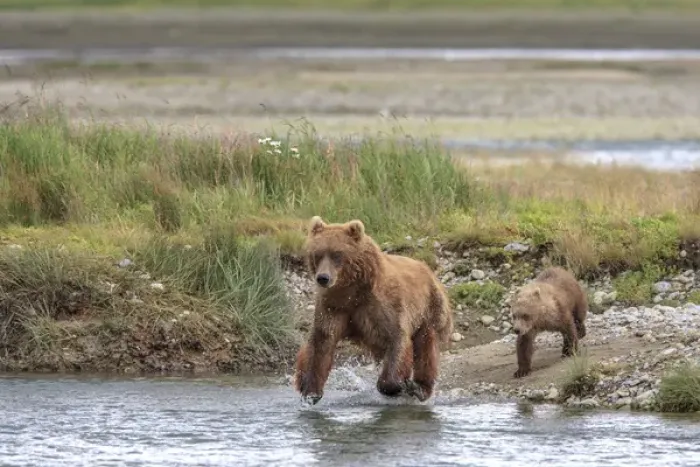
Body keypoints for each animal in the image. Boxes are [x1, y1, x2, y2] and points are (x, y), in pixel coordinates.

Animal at [293, 216, 453, 405]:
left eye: (337, 254)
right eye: (318, 254)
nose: (323, 278)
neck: (352, 290)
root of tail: (429, 270)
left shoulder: (382, 306)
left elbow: (397, 338)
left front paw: (397, 385)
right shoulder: (333, 306)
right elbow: (322, 341)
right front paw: (310, 391)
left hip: (431, 309)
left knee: (426, 347)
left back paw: (420, 388)